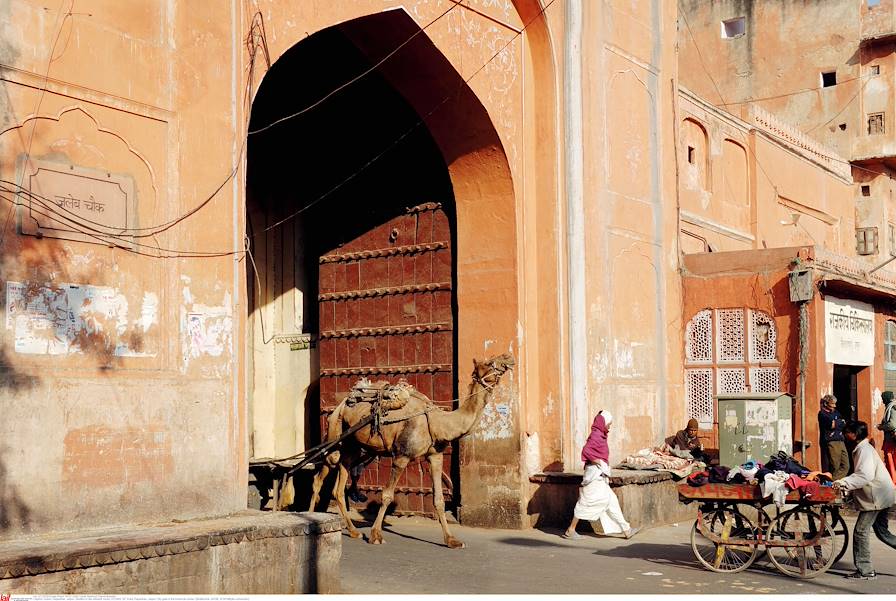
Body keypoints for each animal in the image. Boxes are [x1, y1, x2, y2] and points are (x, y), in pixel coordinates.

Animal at [308, 352, 516, 548]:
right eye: (489, 362)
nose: (509, 357)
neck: (439, 423)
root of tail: (340, 406)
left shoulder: (435, 456)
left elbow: (439, 500)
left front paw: (452, 540)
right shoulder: (402, 456)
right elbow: (387, 495)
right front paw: (376, 535)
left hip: (357, 449)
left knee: (337, 484)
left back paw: (352, 531)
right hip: (336, 434)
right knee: (322, 474)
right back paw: (310, 519)